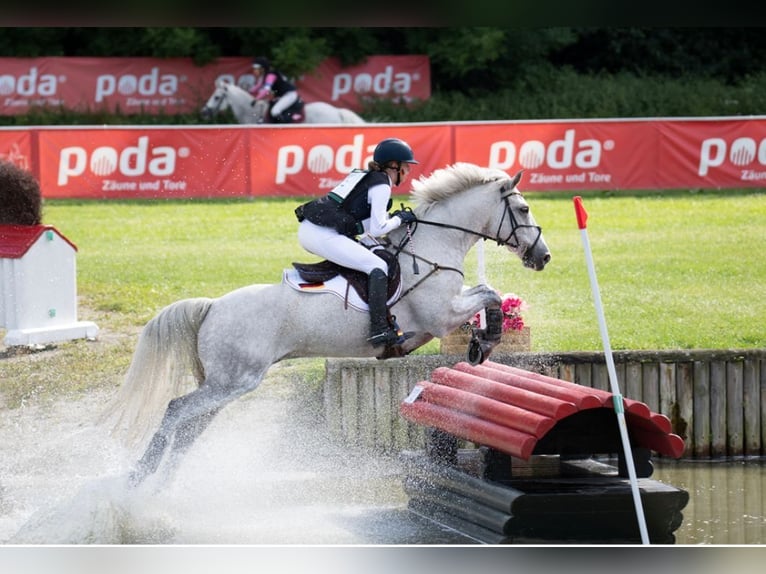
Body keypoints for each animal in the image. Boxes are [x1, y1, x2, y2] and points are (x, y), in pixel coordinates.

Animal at [102, 162, 551, 488]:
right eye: (524, 209)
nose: (543, 256)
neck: (432, 245)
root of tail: (212, 307)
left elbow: (487, 291)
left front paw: (482, 340)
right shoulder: (439, 317)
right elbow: (489, 293)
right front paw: (487, 339)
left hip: (223, 384)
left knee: (190, 424)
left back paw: (159, 486)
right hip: (235, 380)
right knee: (176, 410)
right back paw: (140, 475)